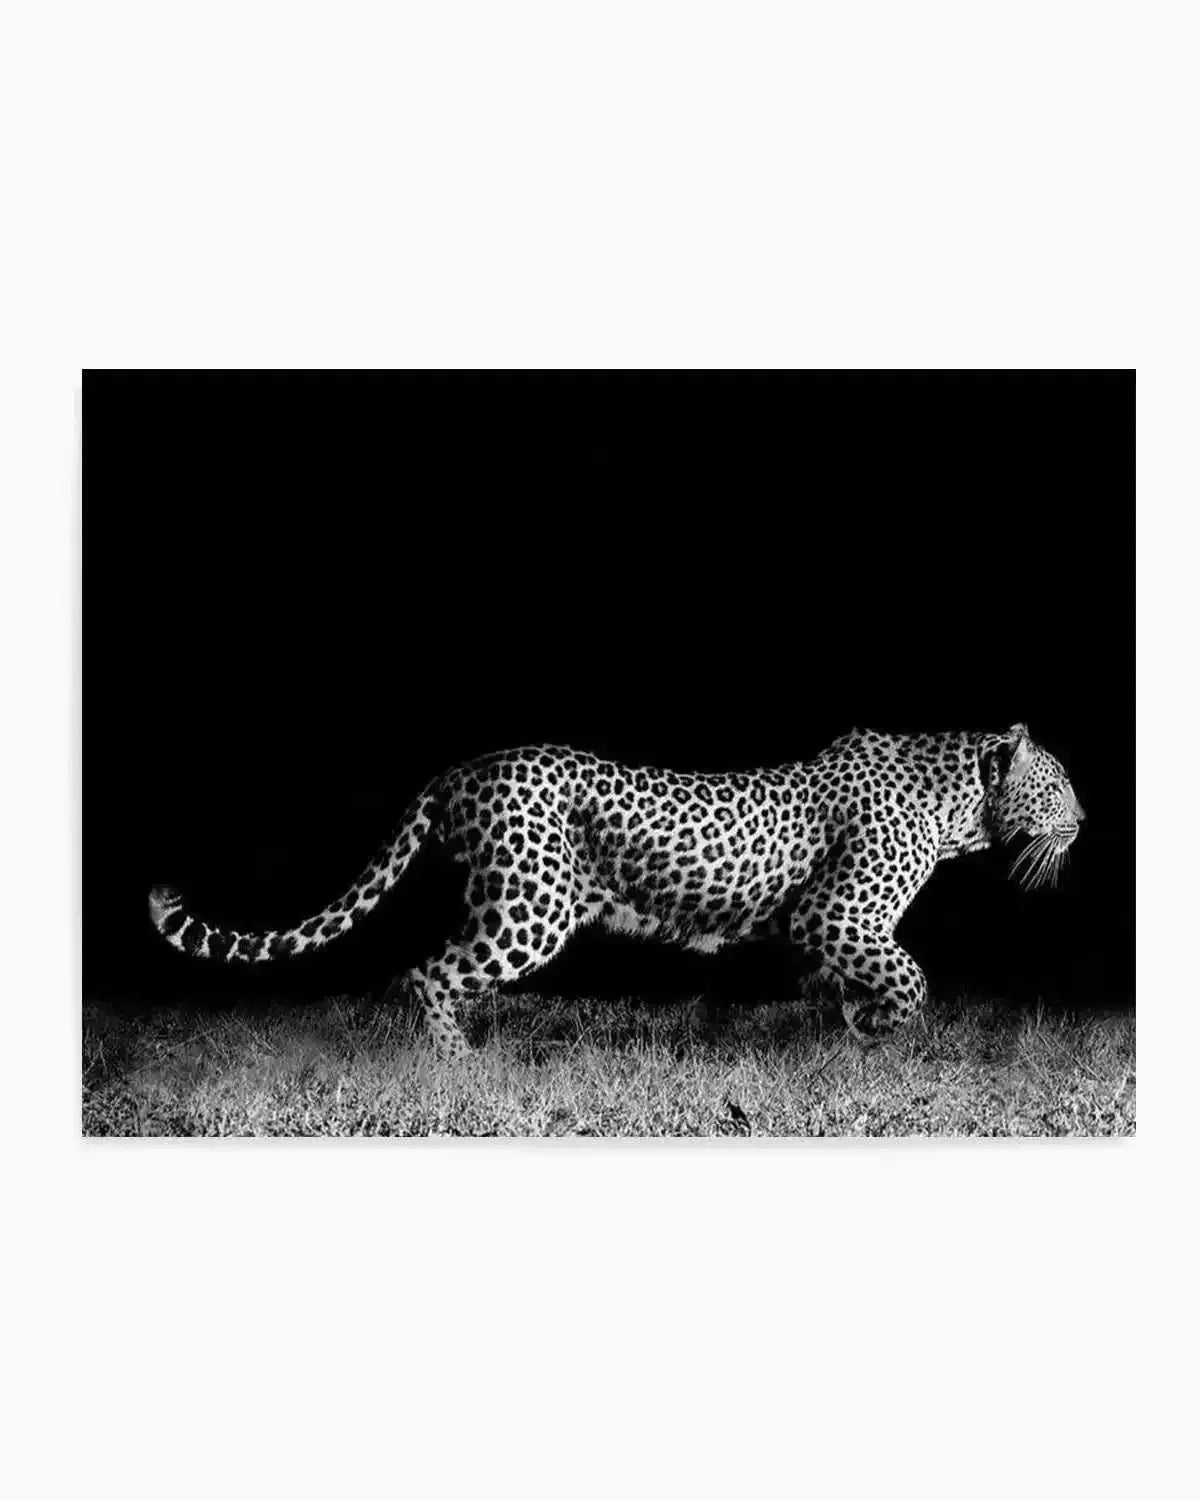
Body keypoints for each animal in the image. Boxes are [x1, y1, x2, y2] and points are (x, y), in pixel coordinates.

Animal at [149, 723, 1084, 1058]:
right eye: (1060, 783)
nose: (1087, 816)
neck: (959, 806)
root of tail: (461, 769)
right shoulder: (835, 915)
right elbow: (911, 978)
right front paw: (881, 1030)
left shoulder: (824, 931)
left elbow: (844, 985)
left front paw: (847, 1034)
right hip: (530, 907)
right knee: (428, 973)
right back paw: (459, 1066)